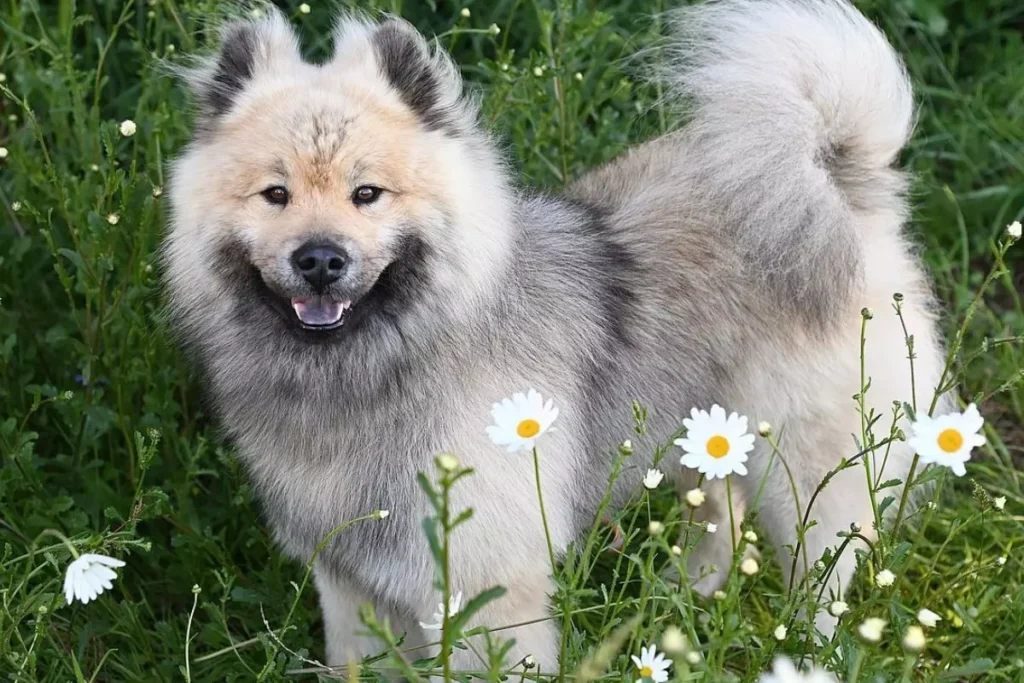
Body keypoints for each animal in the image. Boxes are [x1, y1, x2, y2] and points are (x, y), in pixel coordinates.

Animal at [165, 0, 942, 671]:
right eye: (276, 195)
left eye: (367, 195)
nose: (320, 259)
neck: (376, 373)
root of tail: (831, 175)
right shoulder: (352, 582)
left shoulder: (485, 592)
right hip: (698, 430)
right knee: (720, 511)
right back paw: (684, 593)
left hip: (807, 477)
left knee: (822, 579)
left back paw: (806, 653)